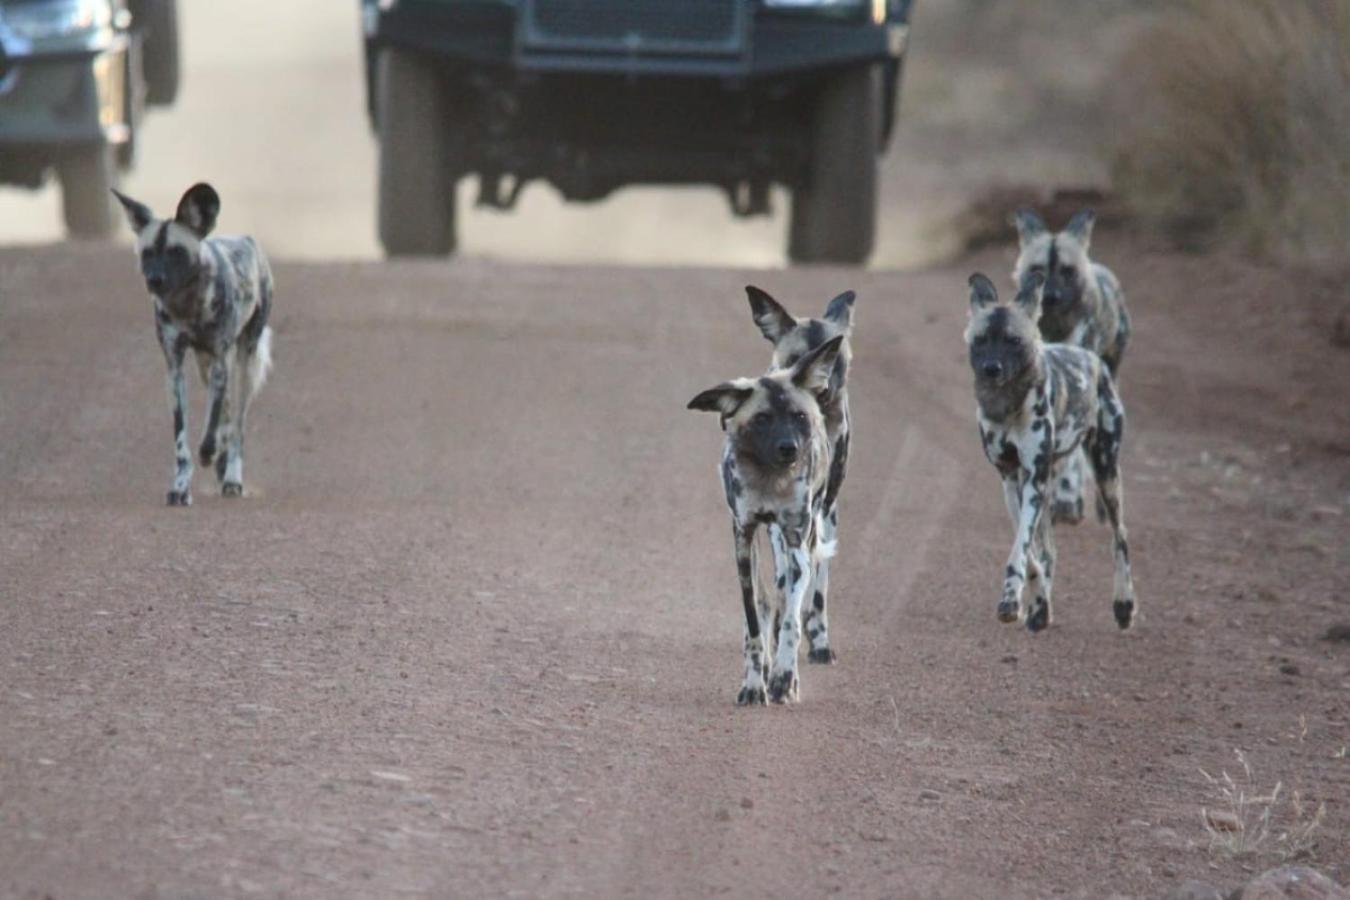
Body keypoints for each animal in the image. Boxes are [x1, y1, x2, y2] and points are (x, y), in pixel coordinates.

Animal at [114, 183, 275, 507]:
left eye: (176, 252)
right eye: (148, 253)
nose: (155, 280)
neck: (187, 305)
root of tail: (248, 241)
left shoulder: (221, 362)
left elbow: (212, 426)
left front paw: (209, 453)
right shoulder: (176, 370)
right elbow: (182, 441)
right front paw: (180, 487)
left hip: (244, 364)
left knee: (237, 426)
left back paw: (232, 476)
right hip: (204, 365)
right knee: (227, 414)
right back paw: (222, 467)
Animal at [696, 334, 842, 707]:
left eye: (798, 416)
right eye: (762, 419)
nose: (788, 448)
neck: (769, 480)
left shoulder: (797, 543)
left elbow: (791, 621)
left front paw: (783, 679)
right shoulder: (744, 539)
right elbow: (753, 627)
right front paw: (753, 684)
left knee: (789, 604)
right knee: (765, 605)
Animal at [739, 284, 853, 666]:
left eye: (836, 362)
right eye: (796, 358)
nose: (823, 390)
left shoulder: (818, 510)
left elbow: (814, 583)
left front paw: (814, 641)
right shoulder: (780, 517)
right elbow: (782, 581)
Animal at [966, 271, 1134, 631]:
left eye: (1014, 341)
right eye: (981, 340)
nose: (991, 368)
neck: (1008, 405)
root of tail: (1089, 357)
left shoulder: (1033, 480)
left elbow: (1021, 549)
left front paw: (1014, 599)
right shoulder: (1011, 479)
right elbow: (1029, 550)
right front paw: (1027, 600)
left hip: (1106, 473)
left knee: (1120, 537)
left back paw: (1124, 604)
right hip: (1048, 484)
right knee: (1050, 548)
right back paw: (1040, 606)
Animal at [1015, 207, 1128, 523]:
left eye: (1067, 271)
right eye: (1037, 269)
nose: (1050, 296)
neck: (1054, 325)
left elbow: (1071, 458)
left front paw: (1067, 496)